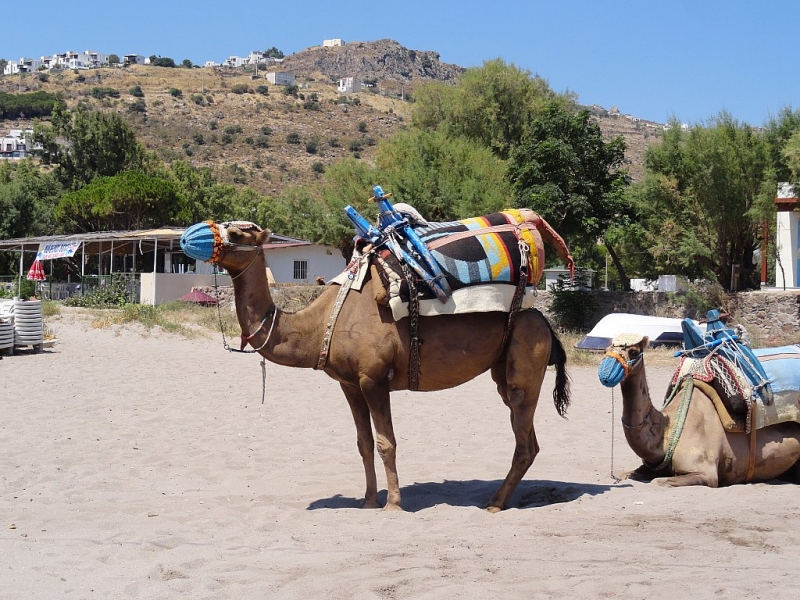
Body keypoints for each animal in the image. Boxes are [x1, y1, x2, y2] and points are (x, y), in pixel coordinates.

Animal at [181, 220, 568, 510]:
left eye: (236, 234)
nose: (187, 238)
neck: (319, 324)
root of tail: (545, 322)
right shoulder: (349, 383)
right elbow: (363, 442)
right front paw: (368, 501)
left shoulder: (374, 379)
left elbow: (386, 442)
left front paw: (393, 503)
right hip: (503, 371)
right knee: (527, 437)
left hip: (526, 362)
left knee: (524, 440)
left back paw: (495, 503)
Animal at [600, 332, 800, 488]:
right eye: (606, 349)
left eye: (633, 351)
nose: (605, 374)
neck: (668, 431)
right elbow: (626, 475)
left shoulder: (705, 473)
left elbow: (659, 482)